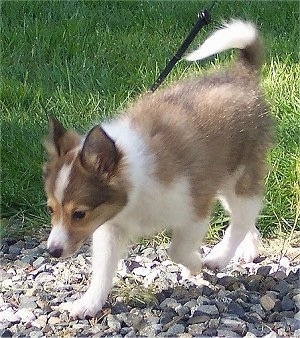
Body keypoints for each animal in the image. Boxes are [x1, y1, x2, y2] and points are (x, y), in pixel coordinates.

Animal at [43, 19, 274, 318]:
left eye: (79, 214)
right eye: (51, 209)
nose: (52, 252)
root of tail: (241, 75)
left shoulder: (193, 210)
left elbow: (176, 250)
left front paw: (195, 264)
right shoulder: (110, 226)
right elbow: (102, 269)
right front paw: (89, 304)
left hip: (239, 176)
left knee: (243, 215)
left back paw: (219, 257)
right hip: (221, 179)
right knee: (246, 216)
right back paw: (247, 248)